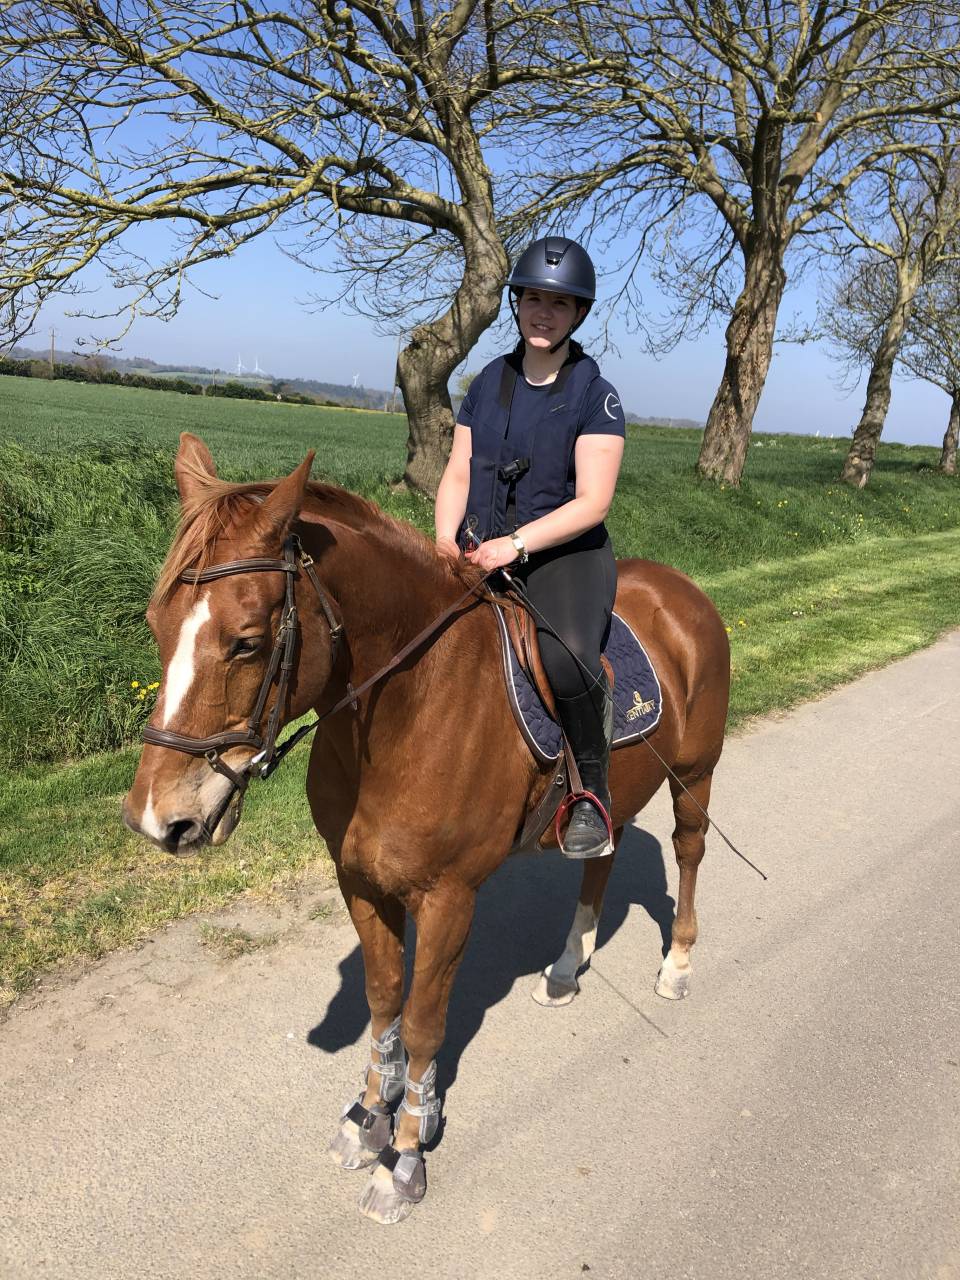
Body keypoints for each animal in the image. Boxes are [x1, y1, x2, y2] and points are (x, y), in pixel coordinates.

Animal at [123, 433, 730, 1225]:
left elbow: (422, 1022)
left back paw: (677, 964)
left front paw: (404, 1157)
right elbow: (384, 998)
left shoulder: (447, 899)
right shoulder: (360, 881)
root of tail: (683, 592)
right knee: (603, 852)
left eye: (247, 642)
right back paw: (567, 967)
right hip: (614, 797)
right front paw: (368, 1116)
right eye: (155, 622)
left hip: (695, 776)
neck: (410, 704)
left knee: (689, 852)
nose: (158, 819)